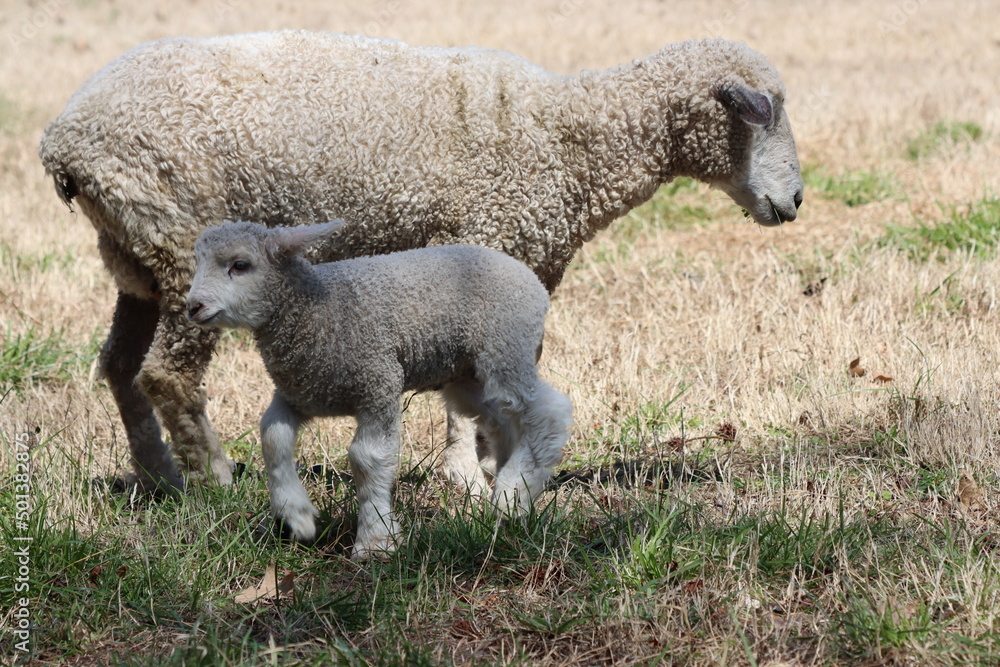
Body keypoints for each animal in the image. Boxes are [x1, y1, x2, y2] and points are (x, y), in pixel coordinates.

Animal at [38, 30, 804, 492]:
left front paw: (498, 461)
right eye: (765, 111)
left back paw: (161, 477)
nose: (794, 201)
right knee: (166, 373)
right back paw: (219, 480)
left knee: (119, 367)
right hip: (181, 239)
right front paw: (467, 475)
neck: (572, 141)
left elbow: (503, 377)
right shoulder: (486, 239)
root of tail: (63, 141)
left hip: (137, 256)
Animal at [185, 220, 573, 559]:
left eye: (240, 265)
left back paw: (510, 495)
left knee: (548, 414)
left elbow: (366, 458)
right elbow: (272, 437)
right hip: (468, 376)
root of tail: (530, 279)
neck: (316, 311)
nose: (193, 307)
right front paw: (296, 515)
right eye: (197, 261)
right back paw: (520, 489)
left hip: (505, 348)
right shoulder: (300, 393)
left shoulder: (379, 384)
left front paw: (375, 540)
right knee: (505, 422)